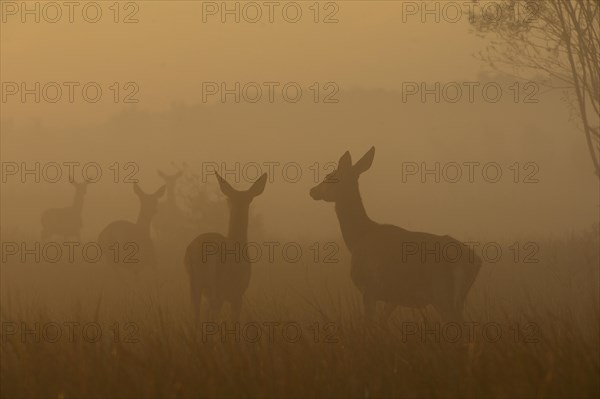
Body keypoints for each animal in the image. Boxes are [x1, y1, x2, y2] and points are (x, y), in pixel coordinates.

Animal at [312, 148, 480, 324]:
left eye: (329, 176)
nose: (312, 190)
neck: (357, 239)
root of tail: (476, 260)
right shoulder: (393, 297)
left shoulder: (368, 288)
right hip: (459, 298)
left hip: (442, 294)